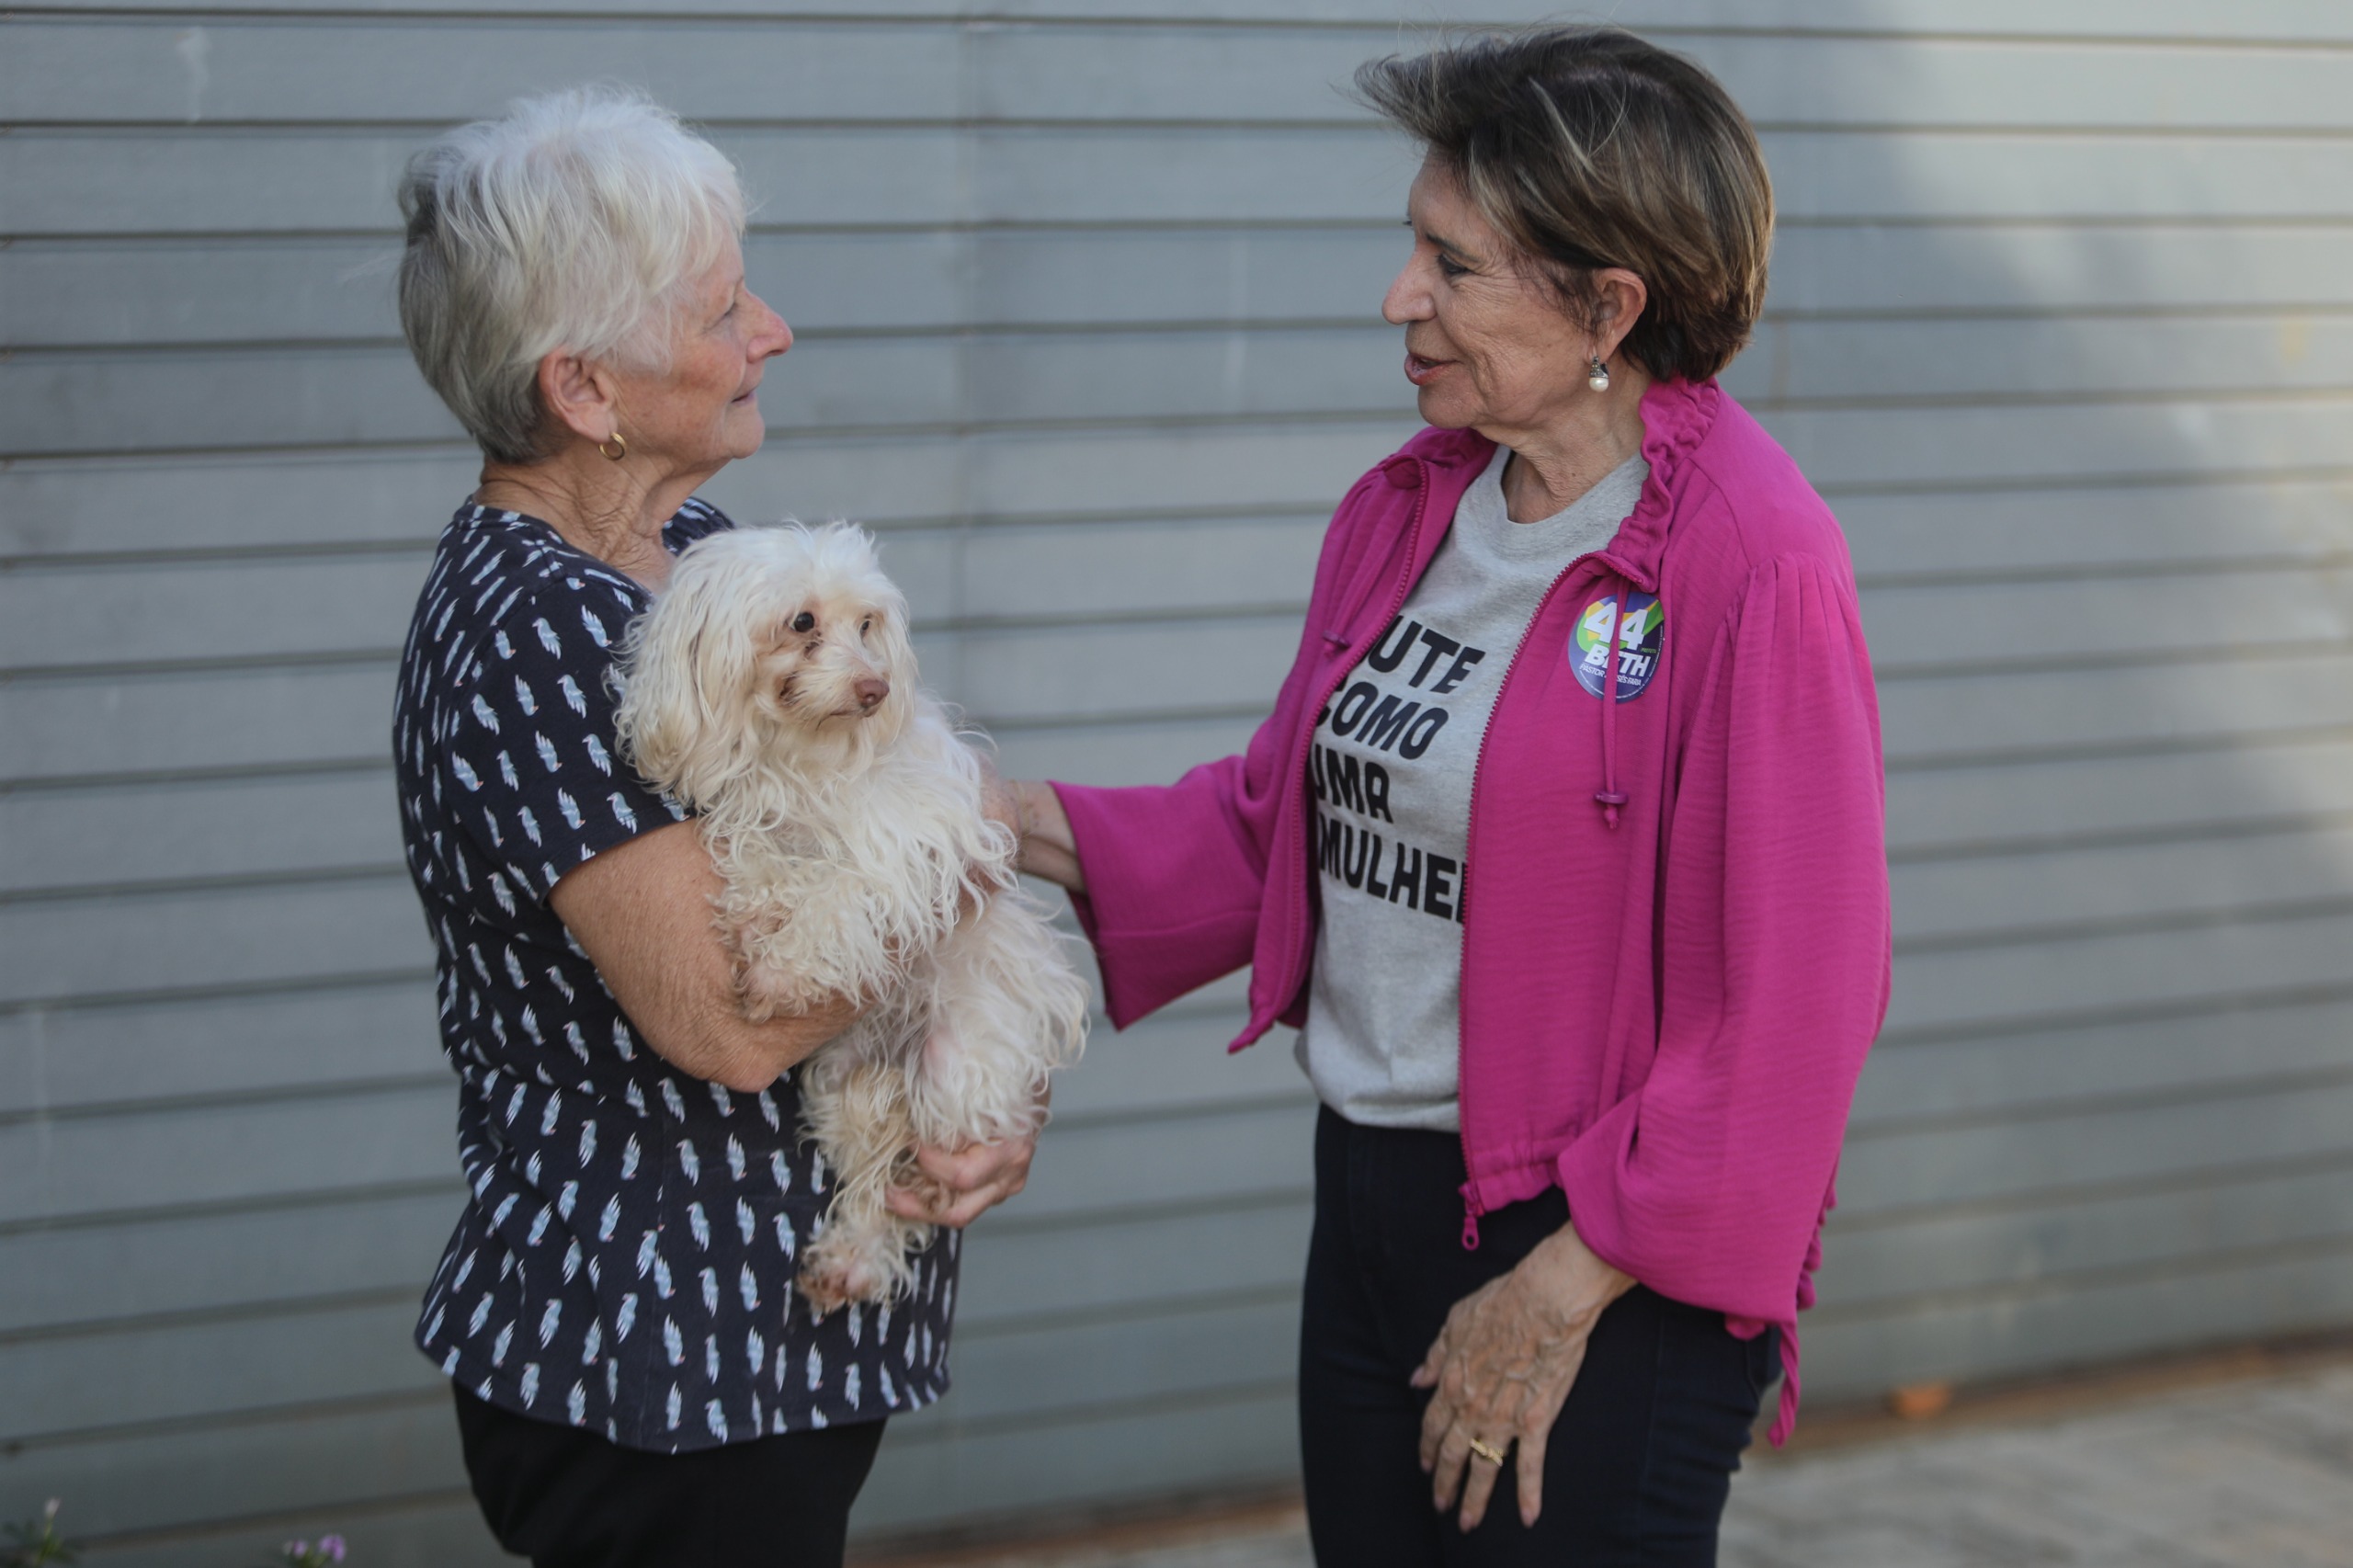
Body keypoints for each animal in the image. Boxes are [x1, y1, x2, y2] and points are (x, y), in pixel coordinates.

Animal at [607, 522, 1082, 1309]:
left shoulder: (914, 851)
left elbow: (841, 894)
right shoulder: (752, 820)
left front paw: (779, 973)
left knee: (909, 1185)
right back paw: (849, 1258)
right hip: (839, 1078)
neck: (797, 754)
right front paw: (757, 917)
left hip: (956, 1071)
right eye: (802, 622)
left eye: (867, 625)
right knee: (875, 1157)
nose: (874, 688)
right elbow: (763, 863)